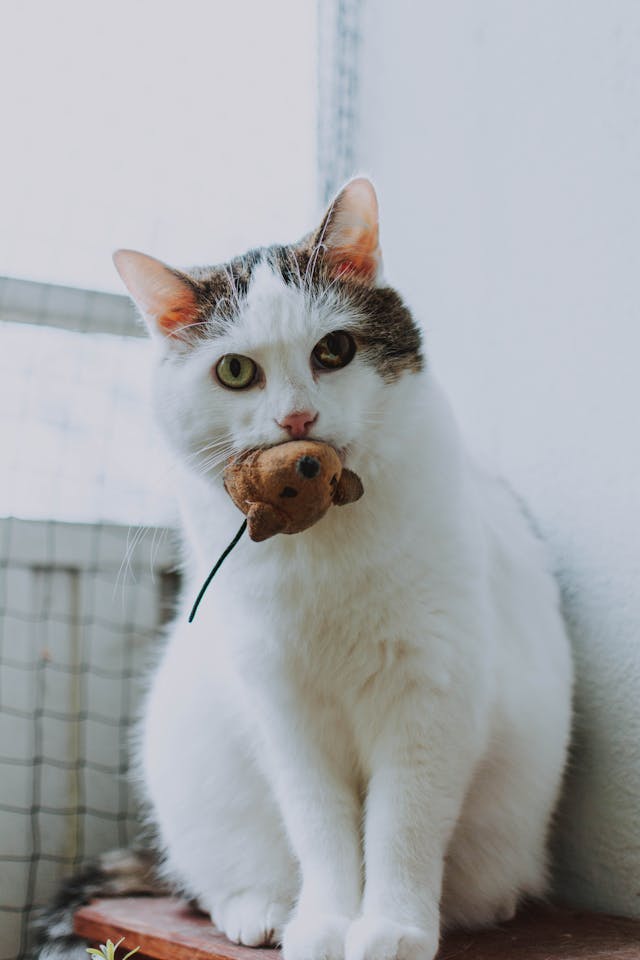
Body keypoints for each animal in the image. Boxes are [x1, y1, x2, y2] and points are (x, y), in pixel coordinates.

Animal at [109, 180, 568, 960]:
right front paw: (326, 923)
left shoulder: (431, 694)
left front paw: (393, 927)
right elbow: (320, 826)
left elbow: (403, 823)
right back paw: (261, 910)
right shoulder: (284, 708)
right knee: (214, 877)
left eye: (335, 350)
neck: (321, 540)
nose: (297, 421)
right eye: (236, 370)